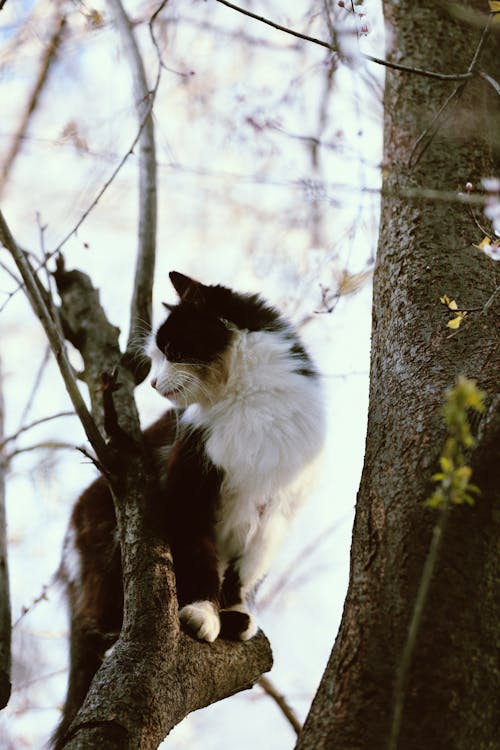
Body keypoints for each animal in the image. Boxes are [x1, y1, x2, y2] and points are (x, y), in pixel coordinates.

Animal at [50, 274, 324, 748]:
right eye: (156, 357)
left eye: (173, 350)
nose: (154, 385)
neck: (248, 402)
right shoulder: (189, 488)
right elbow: (200, 558)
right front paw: (202, 612)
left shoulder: (273, 516)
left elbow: (242, 575)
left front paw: (232, 614)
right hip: (106, 544)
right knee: (99, 625)